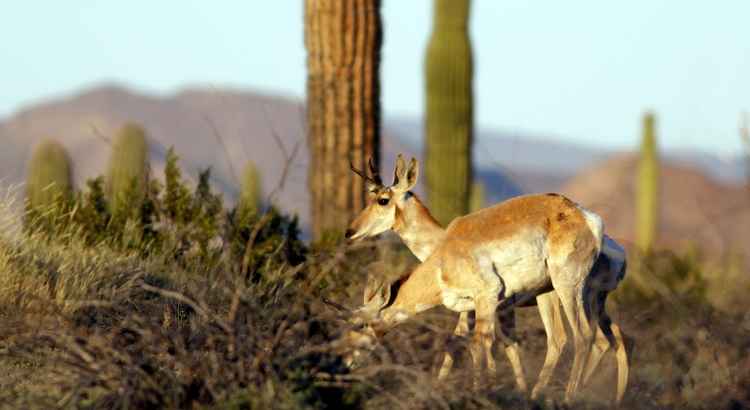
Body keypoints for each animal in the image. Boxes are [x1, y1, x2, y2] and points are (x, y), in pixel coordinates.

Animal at [340, 156, 628, 404]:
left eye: (383, 200)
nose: (349, 231)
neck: (442, 248)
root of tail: (587, 218)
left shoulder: (489, 300)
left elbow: (476, 345)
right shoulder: (477, 308)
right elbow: (486, 344)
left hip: (566, 290)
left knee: (581, 337)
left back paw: (566, 397)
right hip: (578, 299)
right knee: (604, 339)